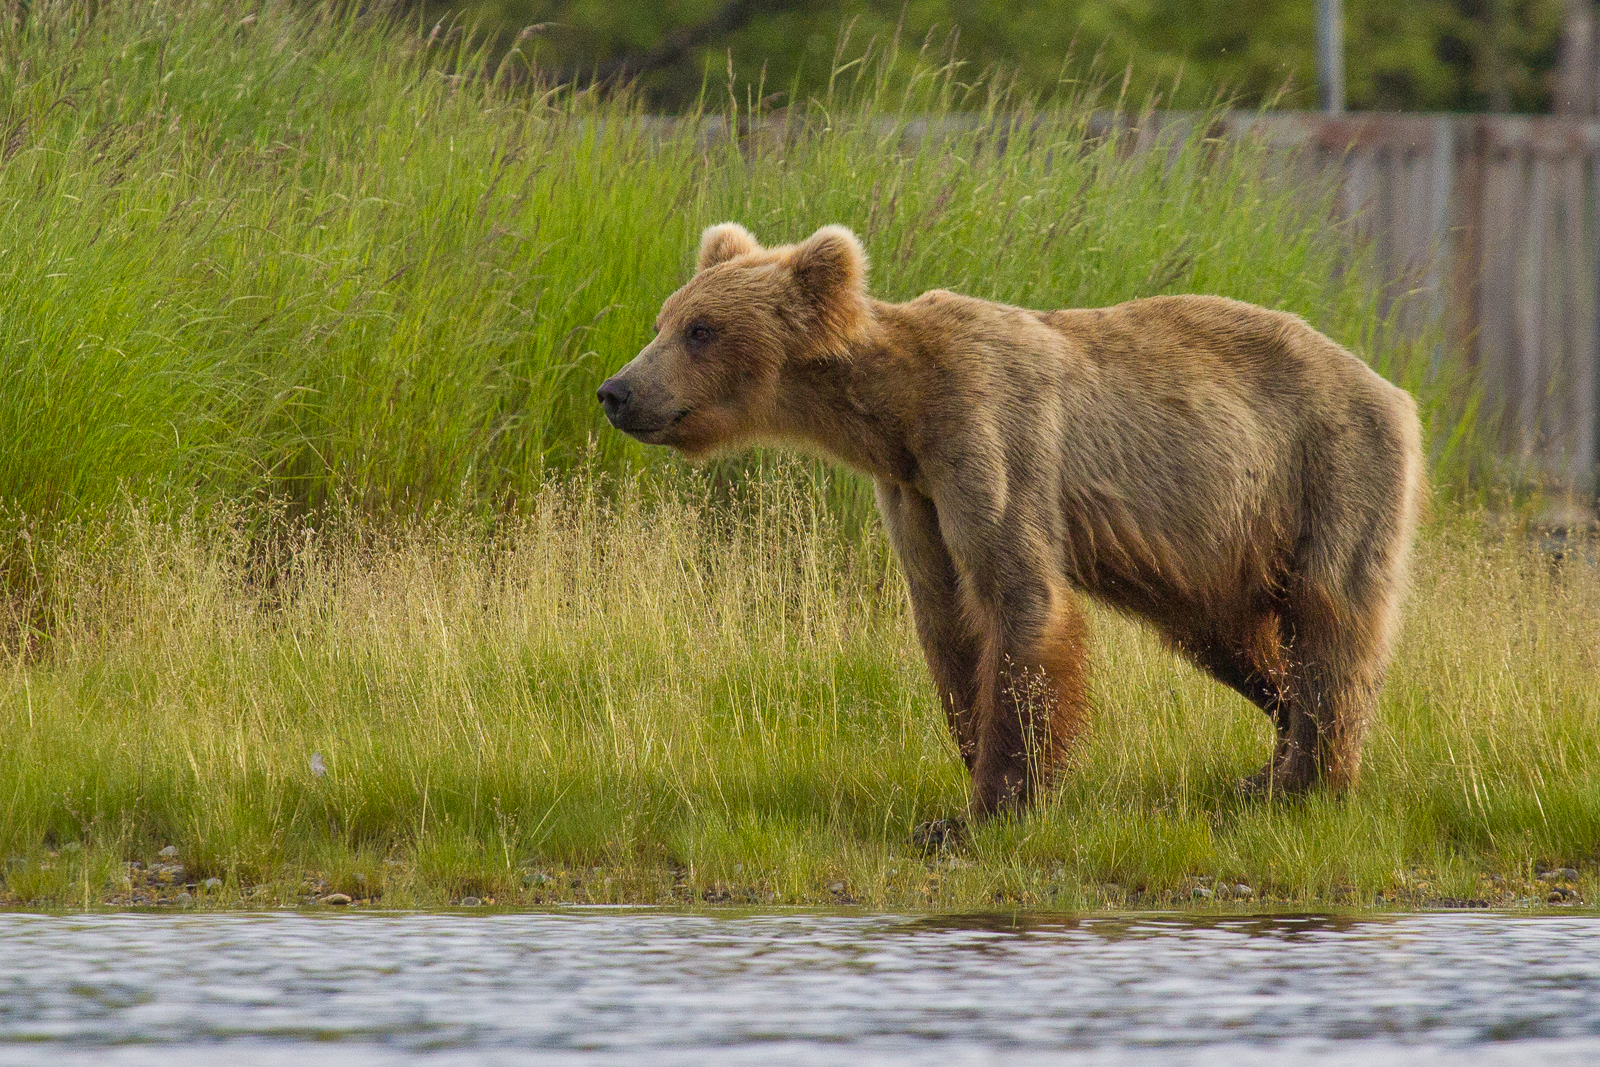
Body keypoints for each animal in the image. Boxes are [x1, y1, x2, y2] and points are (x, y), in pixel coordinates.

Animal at [601, 220, 1427, 825]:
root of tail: (1392, 385)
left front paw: (984, 809)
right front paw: (973, 767)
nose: (617, 389)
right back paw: (1269, 764)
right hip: (1223, 551)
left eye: (701, 328)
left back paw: (1310, 778)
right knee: (1234, 641)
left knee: (1331, 620)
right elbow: (945, 619)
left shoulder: (989, 435)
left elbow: (1019, 598)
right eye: (664, 319)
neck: (897, 412)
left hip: (1330, 469)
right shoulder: (914, 490)